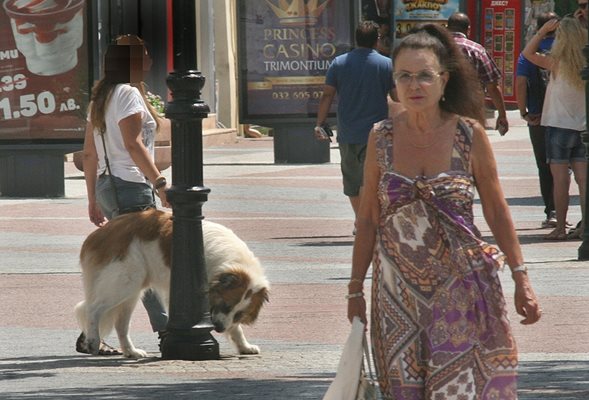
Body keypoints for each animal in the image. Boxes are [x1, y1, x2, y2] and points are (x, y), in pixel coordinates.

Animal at [72, 209, 270, 360]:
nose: (220, 328)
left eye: (240, 314)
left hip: (131, 291)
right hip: (125, 282)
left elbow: (236, 328)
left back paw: (131, 351)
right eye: (225, 304)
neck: (228, 263)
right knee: (93, 309)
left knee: (121, 325)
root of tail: (100, 233)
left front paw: (244, 346)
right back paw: (93, 341)